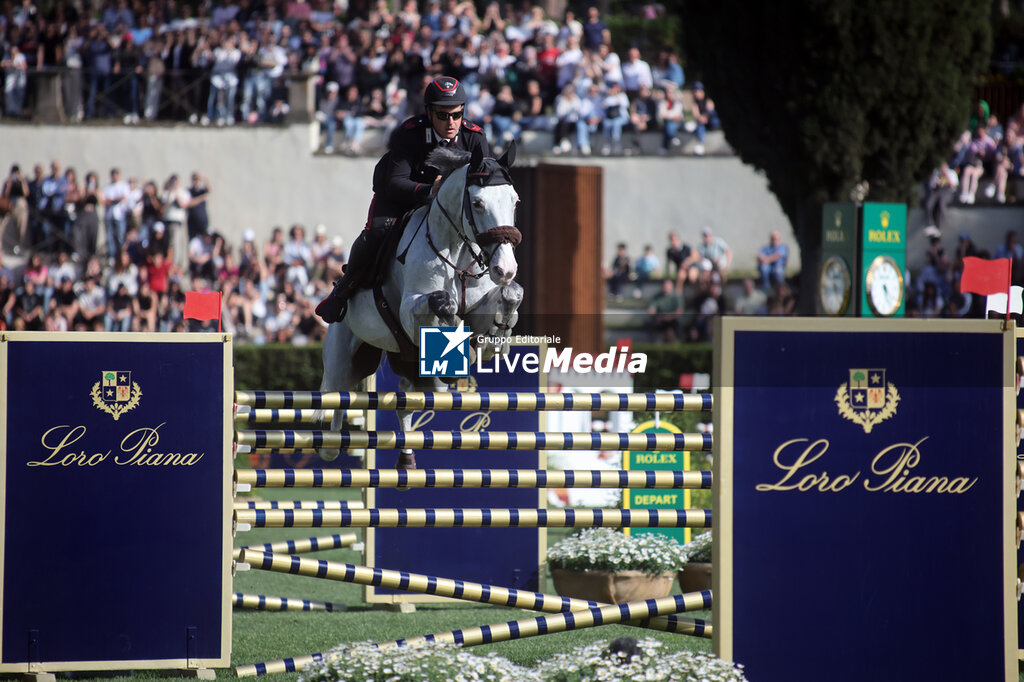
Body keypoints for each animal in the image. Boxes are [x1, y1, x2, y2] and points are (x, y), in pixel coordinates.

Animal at [319, 140, 524, 464]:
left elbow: (512, 294)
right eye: (478, 203)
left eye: (515, 202)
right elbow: (444, 303)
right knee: (339, 398)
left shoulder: (482, 305)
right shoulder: (409, 310)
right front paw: (459, 340)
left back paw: (406, 457)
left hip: (413, 371)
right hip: (343, 359)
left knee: (407, 398)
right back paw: (331, 445)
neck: (457, 251)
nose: (505, 269)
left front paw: (496, 337)